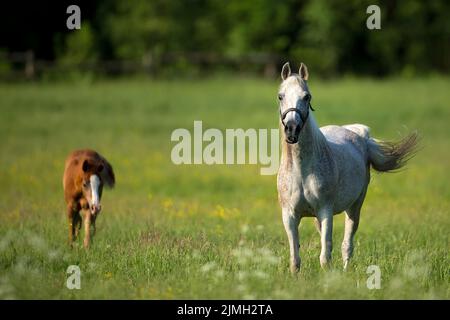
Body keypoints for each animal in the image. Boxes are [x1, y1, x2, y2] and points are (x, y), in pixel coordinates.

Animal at [276, 61, 420, 272]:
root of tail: (360, 135)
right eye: (280, 96)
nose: (292, 129)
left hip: (355, 206)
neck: (302, 170)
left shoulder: (325, 211)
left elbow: (325, 256)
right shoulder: (290, 215)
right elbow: (295, 259)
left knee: (347, 245)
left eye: (307, 96)